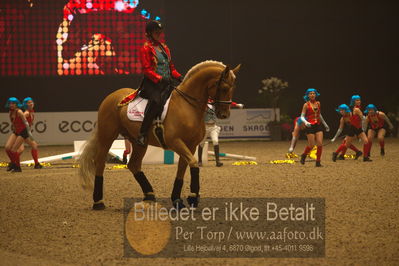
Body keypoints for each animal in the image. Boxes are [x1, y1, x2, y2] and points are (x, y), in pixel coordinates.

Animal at [78, 60, 241, 210]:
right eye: (224, 88)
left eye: (233, 88)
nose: (224, 114)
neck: (187, 106)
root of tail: (112, 96)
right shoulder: (175, 142)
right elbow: (194, 163)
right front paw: (193, 197)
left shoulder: (190, 145)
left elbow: (182, 169)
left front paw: (177, 200)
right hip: (107, 136)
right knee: (100, 163)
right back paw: (98, 202)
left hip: (139, 142)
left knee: (133, 164)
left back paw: (149, 195)